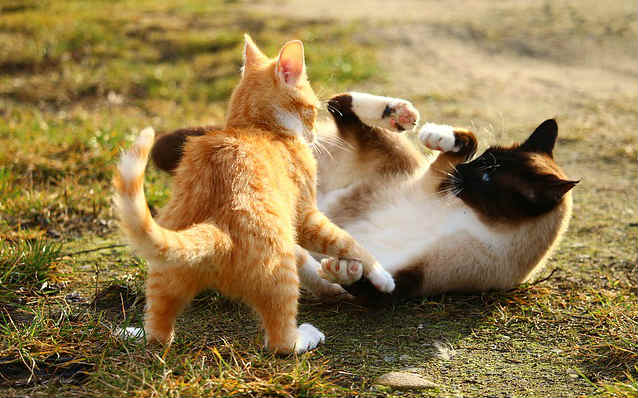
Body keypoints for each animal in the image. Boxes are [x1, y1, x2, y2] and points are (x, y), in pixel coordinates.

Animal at [114, 35, 396, 352]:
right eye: (312, 109)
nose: (312, 134)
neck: (257, 127)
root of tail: (215, 230)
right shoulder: (305, 216)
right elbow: (347, 241)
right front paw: (381, 275)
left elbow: (308, 259)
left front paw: (331, 284)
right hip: (279, 269)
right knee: (281, 341)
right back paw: (305, 335)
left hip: (165, 273)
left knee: (159, 333)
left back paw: (137, 333)